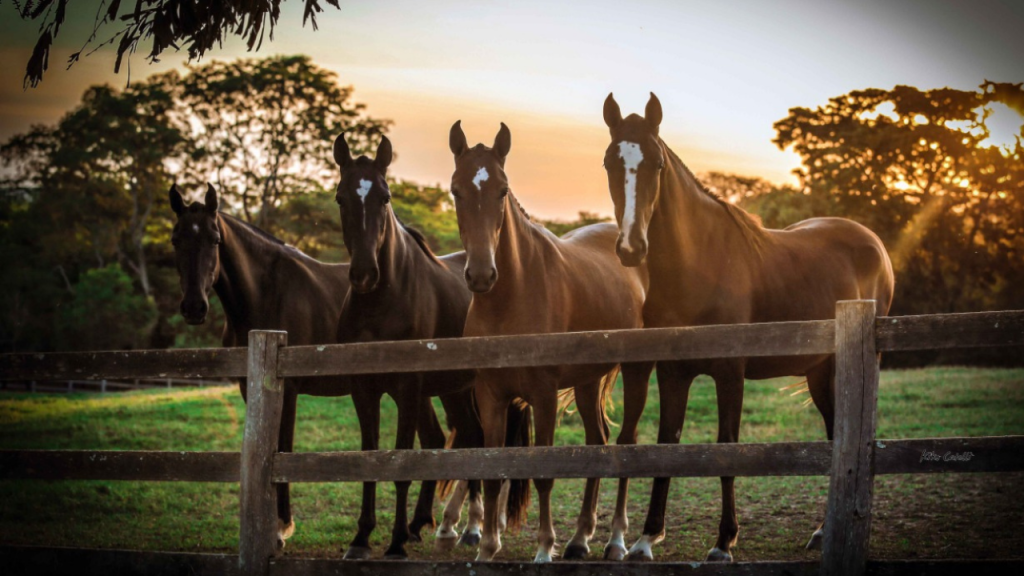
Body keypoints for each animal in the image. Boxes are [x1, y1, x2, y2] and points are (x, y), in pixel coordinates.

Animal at [168, 184, 448, 553]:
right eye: (176, 240)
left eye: (214, 240)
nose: (194, 307)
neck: (266, 291)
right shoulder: (249, 387)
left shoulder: (287, 388)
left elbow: (282, 448)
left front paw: (280, 528)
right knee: (434, 438)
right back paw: (416, 526)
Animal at [331, 133, 532, 557]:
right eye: (341, 197)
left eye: (385, 197)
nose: (364, 274)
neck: (380, 303)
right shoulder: (362, 389)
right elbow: (371, 459)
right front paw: (362, 538)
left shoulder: (408, 389)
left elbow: (404, 463)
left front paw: (394, 544)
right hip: (455, 390)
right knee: (469, 437)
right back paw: (456, 526)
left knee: (491, 443)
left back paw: (480, 528)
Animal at [448, 121, 655, 561]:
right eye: (456, 190)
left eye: (502, 190)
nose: (481, 275)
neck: (510, 299)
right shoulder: (491, 396)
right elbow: (492, 474)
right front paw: (486, 547)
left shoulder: (542, 396)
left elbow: (543, 473)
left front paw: (544, 548)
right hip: (587, 380)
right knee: (598, 441)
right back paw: (580, 539)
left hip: (636, 372)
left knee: (625, 443)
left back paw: (616, 539)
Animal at [598, 94, 897, 561]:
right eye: (610, 162)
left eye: (657, 164)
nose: (631, 248)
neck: (699, 265)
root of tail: (873, 242)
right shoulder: (672, 372)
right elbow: (666, 444)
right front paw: (646, 539)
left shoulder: (730, 372)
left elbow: (727, 448)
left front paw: (724, 542)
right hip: (820, 371)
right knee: (835, 434)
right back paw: (820, 531)